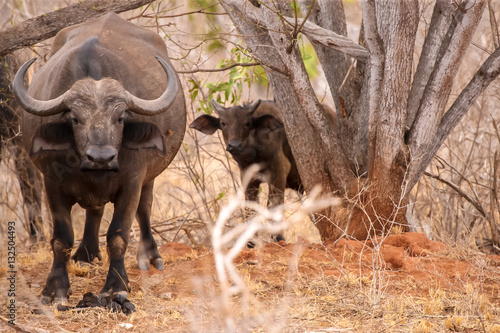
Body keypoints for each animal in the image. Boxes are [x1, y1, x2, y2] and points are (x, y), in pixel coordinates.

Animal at [13, 13, 186, 304]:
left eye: (121, 118)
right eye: (75, 119)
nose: (101, 157)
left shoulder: (132, 182)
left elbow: (118, 234)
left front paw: (116, 286)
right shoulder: (51, 184)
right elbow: (61, 238)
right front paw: (55, 289)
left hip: (149, 177)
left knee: (144, 208)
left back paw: (150, 256)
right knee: (95, 210)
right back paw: (86, 254)